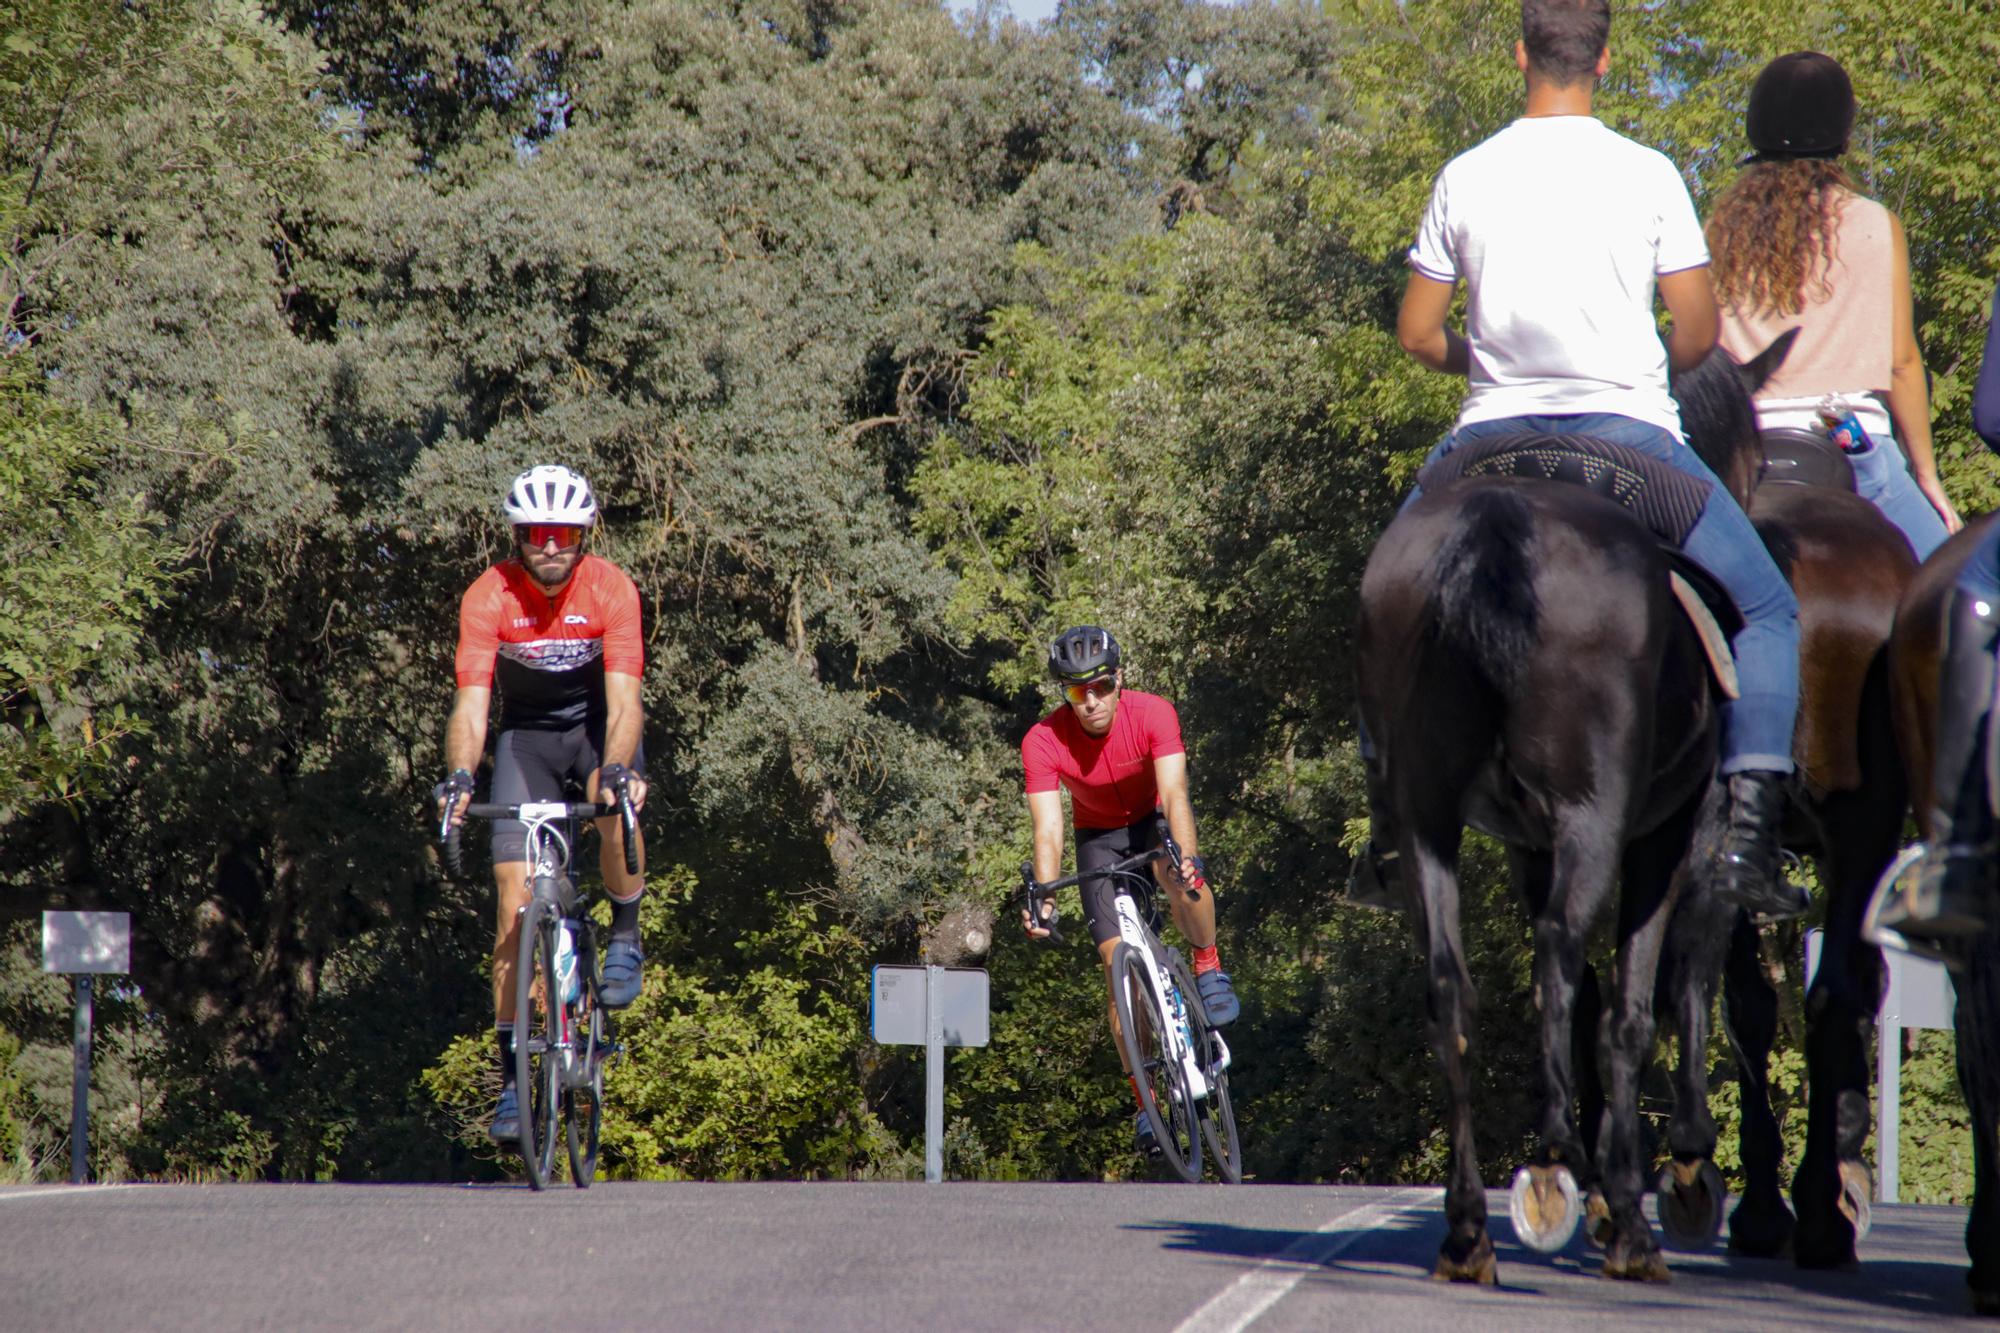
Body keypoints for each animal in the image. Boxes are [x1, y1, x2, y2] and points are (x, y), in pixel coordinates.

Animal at [1352, 340, 1776, 1280]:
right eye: (1758, 455)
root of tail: (1498, 525)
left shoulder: (1529, 846)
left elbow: (1593, 1004)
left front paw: (1615, 1199)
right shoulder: (1675, 831)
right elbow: (1656, 992)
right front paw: (1671, 1174)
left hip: (1428, 816)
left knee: (1452, 990)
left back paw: (1470, 1228)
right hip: (1596, 814)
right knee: (1560, 951)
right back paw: (1558, 1166)